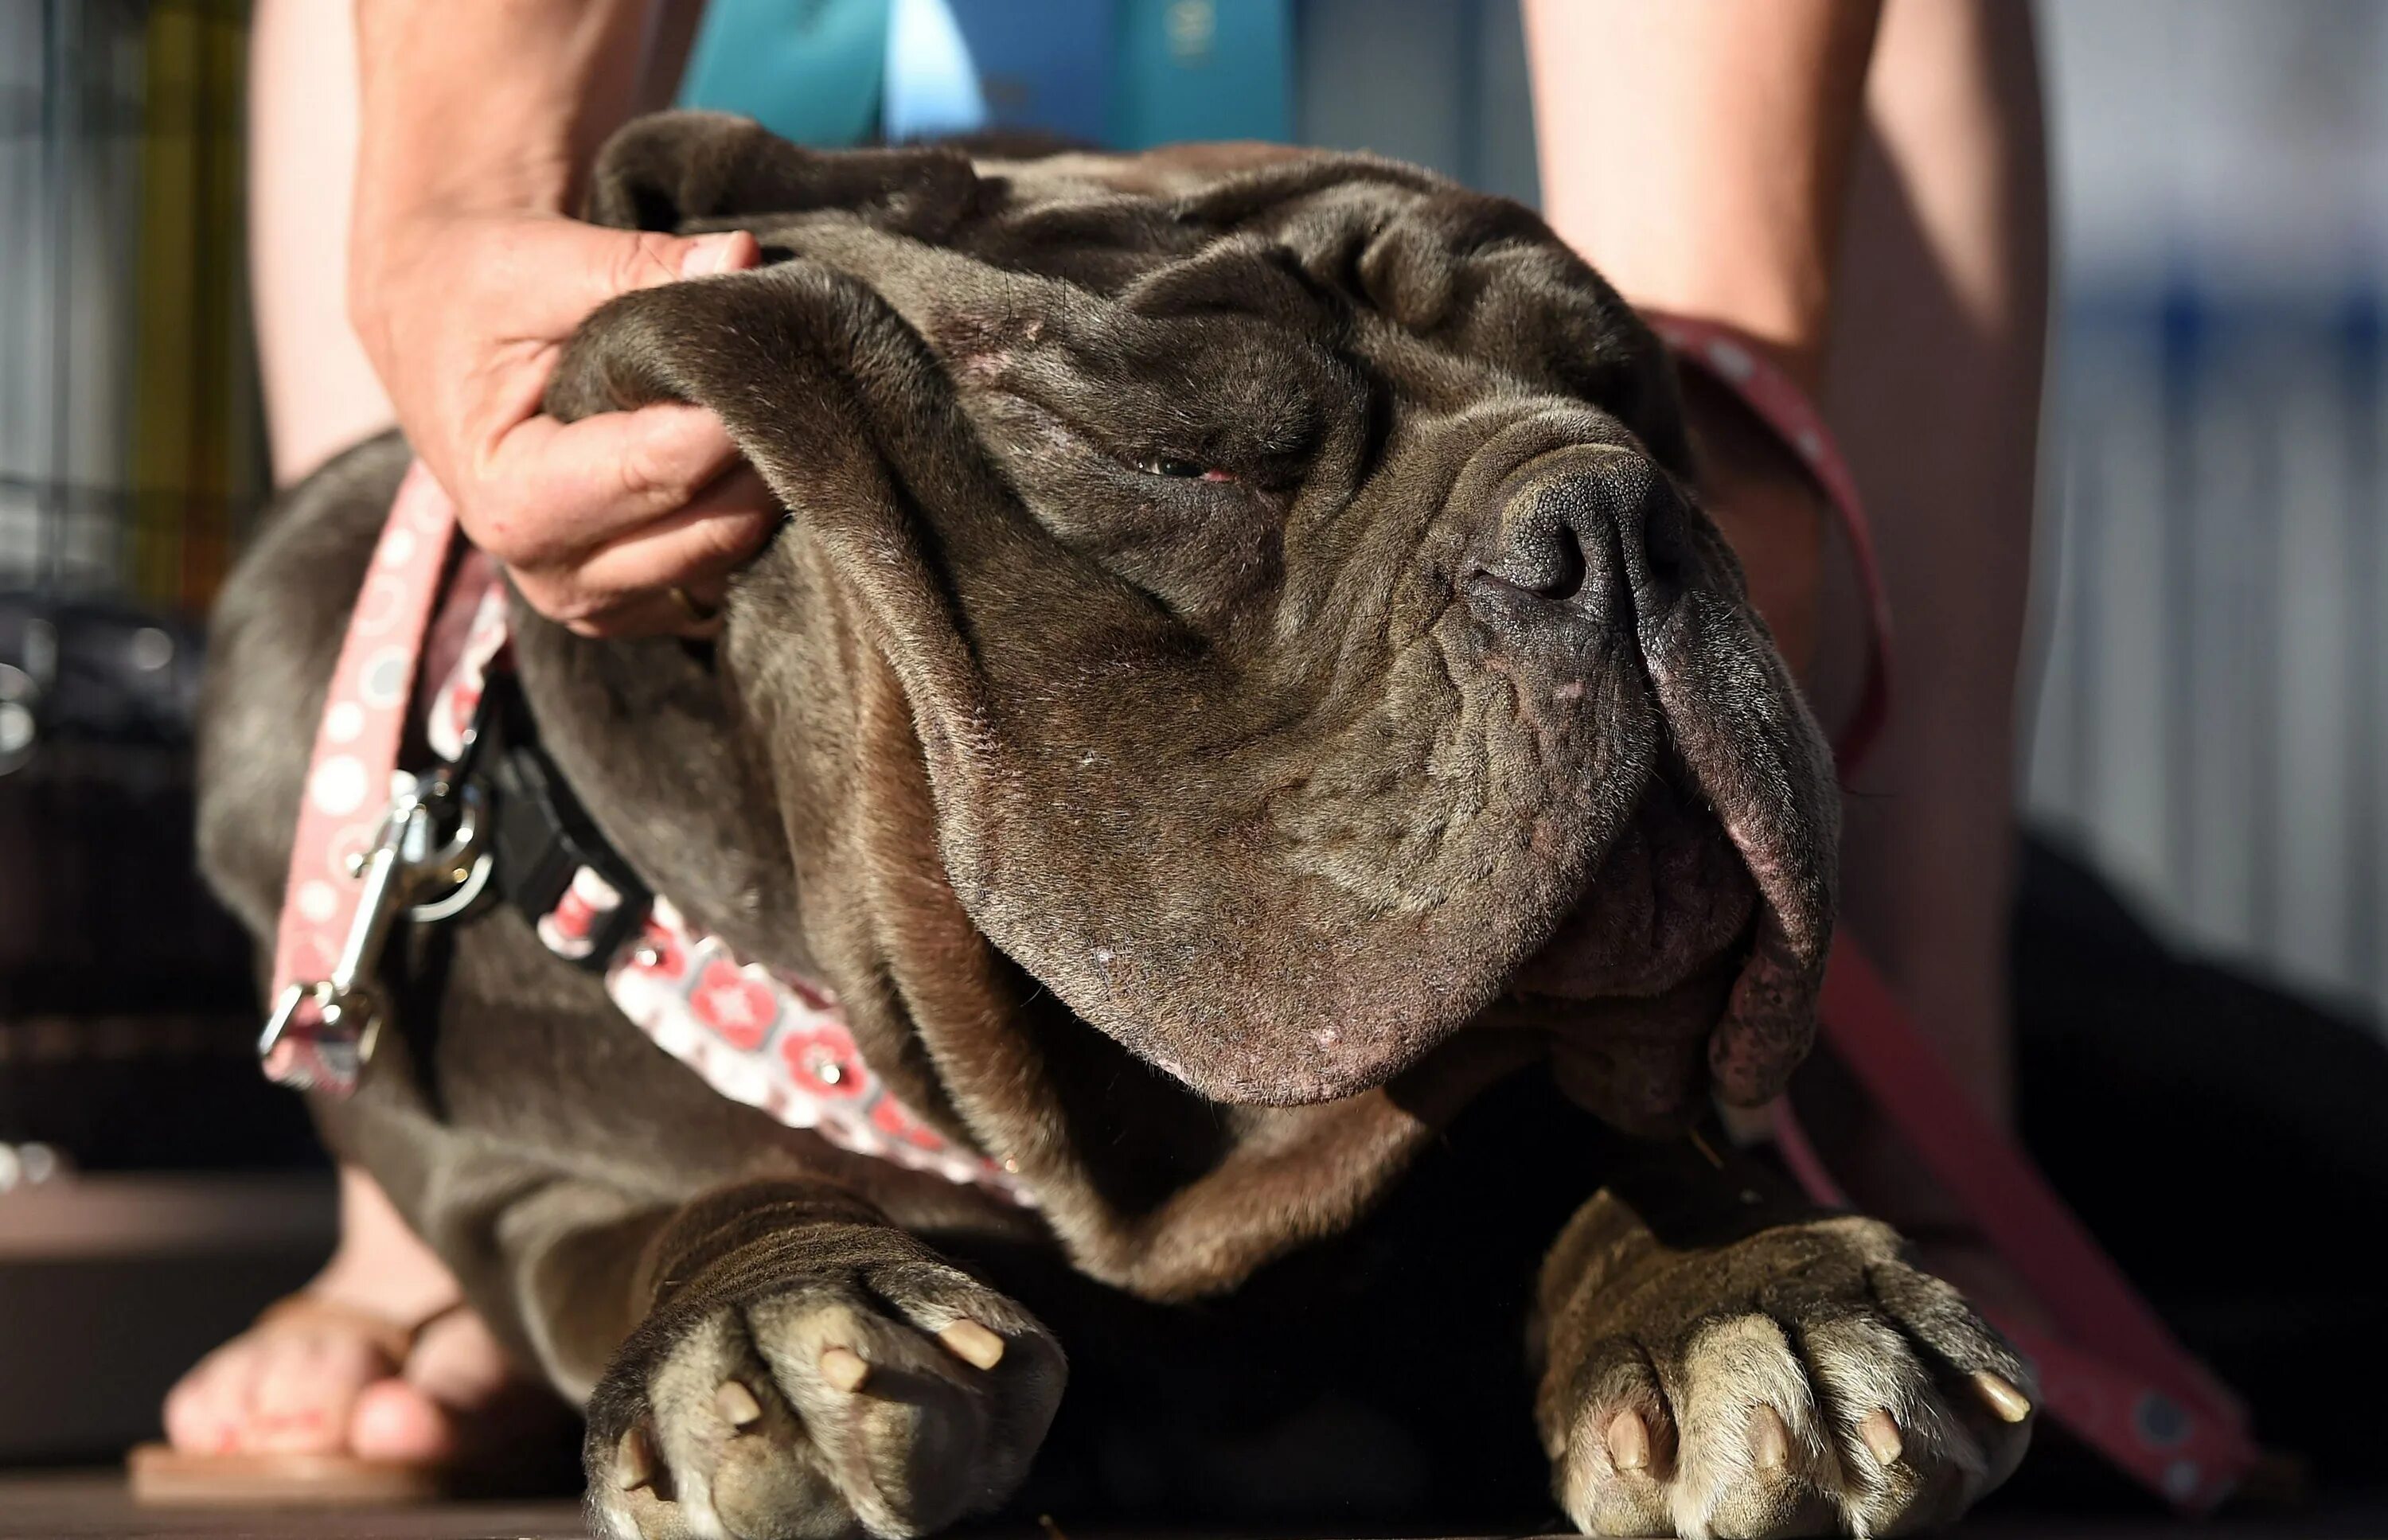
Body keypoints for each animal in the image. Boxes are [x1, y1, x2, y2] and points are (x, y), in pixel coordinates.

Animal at [201, 117, 2035, 1538]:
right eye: (1181, 461)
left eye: (1642, 406)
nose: (1619, 508)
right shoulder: (544, 1188)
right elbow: (694, 1202)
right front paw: (782, 1316)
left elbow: (1614, 1152)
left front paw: (1762, 1293)